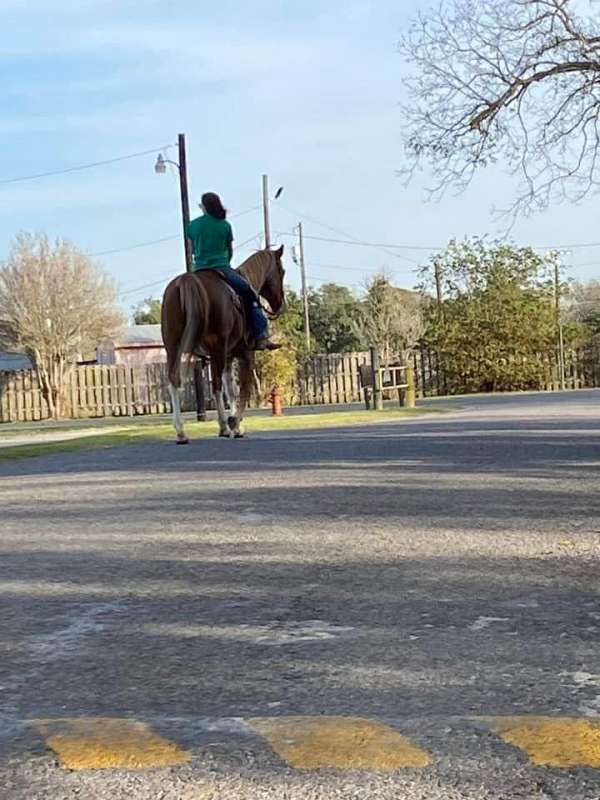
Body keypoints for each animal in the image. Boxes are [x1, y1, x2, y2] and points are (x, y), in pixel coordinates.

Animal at [162, 244, 286, 444]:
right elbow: (243, 389)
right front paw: (235, 423)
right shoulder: (246, 355)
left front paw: (235, 422)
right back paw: (223, 427)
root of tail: (186, 281)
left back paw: (181, 432)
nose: (279, 304)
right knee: (216, 386)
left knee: (174, 380)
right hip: (216, 350)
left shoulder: (228, 357)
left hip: (172, 347)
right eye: (281, 271)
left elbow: (231, 390)